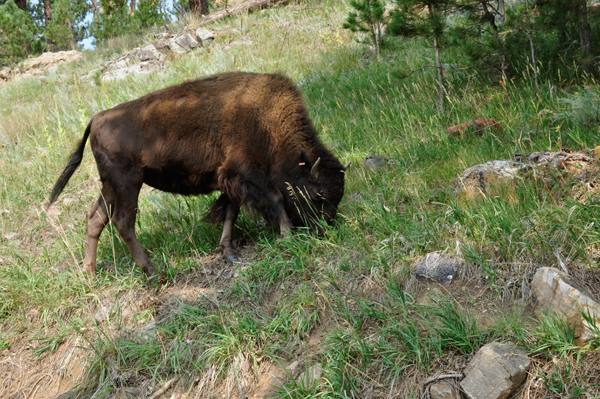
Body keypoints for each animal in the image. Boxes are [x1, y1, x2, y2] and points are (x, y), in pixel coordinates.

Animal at [48, 72, 352, 278]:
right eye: (318, 195)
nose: (324, 229)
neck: (265, 119)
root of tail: (97, 118)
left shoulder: (231, 181)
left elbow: (231, 212)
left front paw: (228, 252)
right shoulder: (246, 172)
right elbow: (275, 198)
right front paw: (287, 236)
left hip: (110, 187)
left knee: (95, 219)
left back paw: (90, 273)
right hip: (127, 184)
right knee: (123, 222)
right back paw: (153, 272)